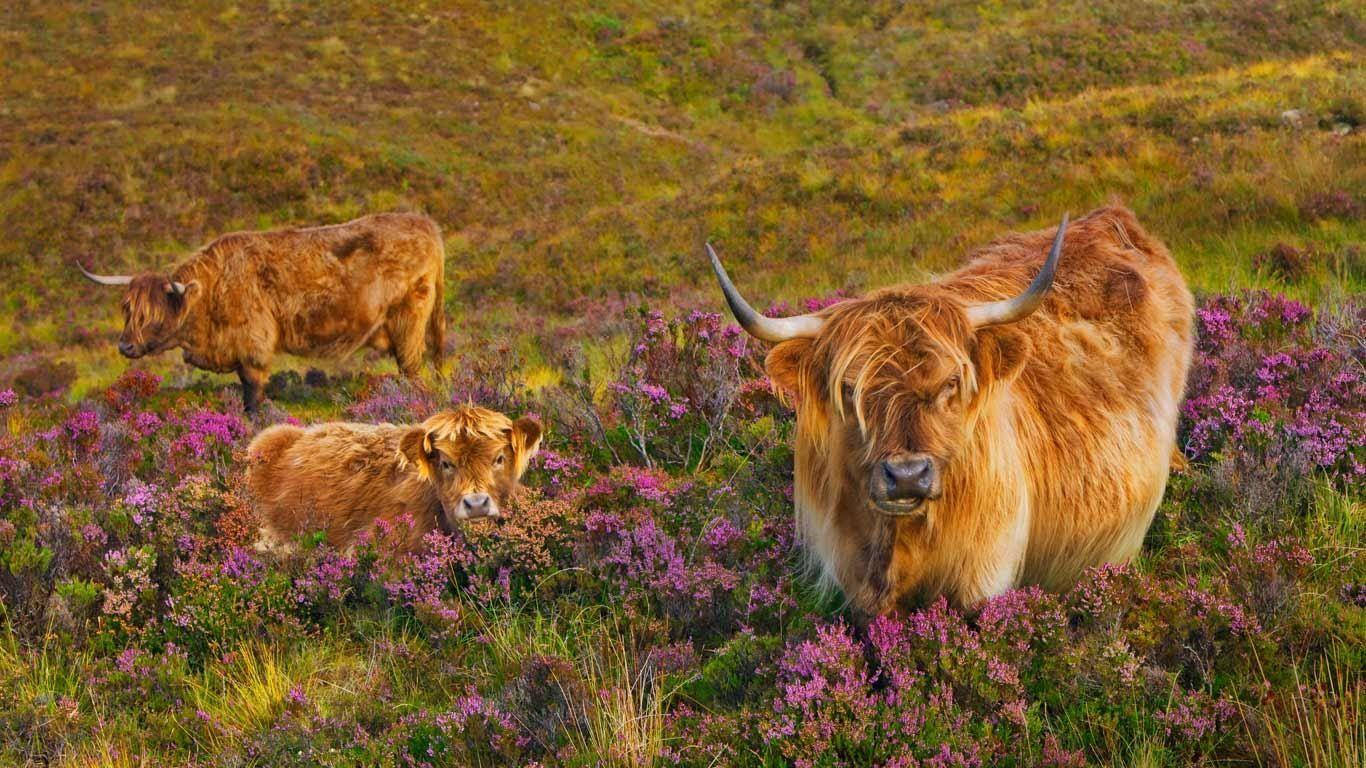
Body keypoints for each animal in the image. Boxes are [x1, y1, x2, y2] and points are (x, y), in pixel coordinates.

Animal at [79, 211, 445, 409]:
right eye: (128, 310)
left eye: (152, 315)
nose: (125, 346)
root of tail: (426, 224)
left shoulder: (252, 344)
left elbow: (252, 393)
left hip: (408, 321)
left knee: (412, 369)